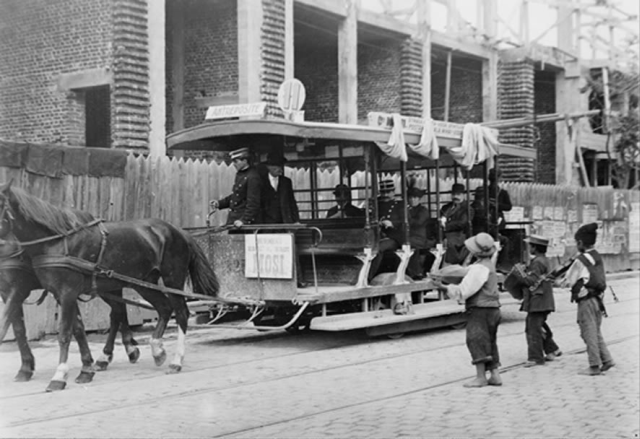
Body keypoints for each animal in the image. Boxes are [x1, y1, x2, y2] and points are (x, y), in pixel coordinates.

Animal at [0, 182, 220, 392]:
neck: (57, 240)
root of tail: (178, 230)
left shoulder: (60, 292)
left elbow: (63, 332)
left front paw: (59, 376)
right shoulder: (55, 293)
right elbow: (69, 328)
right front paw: (83, 369)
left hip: (172, 278)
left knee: (180, 312)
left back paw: (175, 360)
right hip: (139, 283)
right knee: (157, 309)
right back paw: (152, 350)